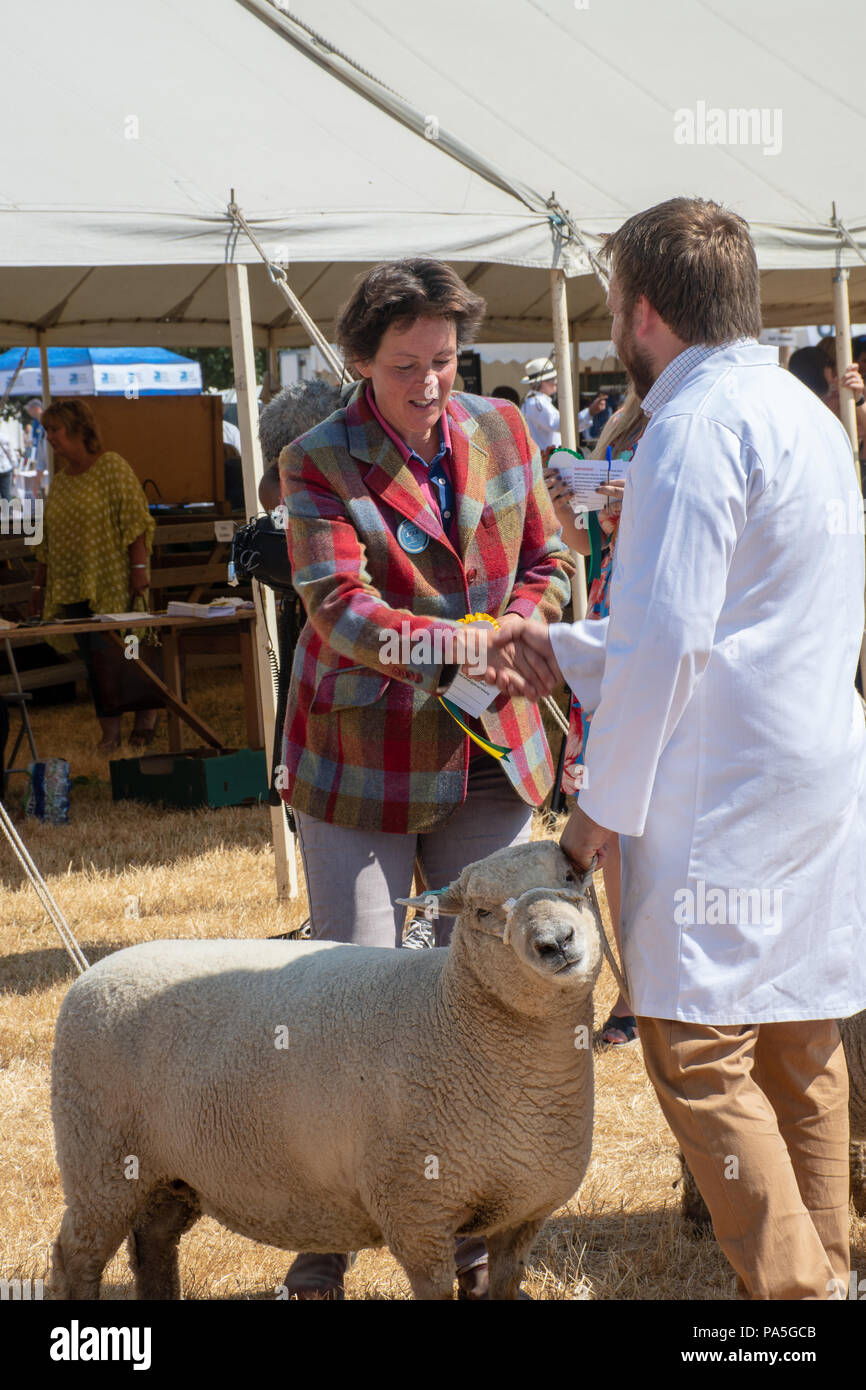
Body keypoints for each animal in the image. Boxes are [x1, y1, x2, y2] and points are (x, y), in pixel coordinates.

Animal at [48, 834, 603, 1301]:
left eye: (571, 877)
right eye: (483, 911)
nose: (556, 942)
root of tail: (94, 973)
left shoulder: (524, 1211)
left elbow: (504, 1283)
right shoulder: (416, 1212)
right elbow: (433, 1288)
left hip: (168, 1172)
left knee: (153, 1243)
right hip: (99, 1160)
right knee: (77, 1256)